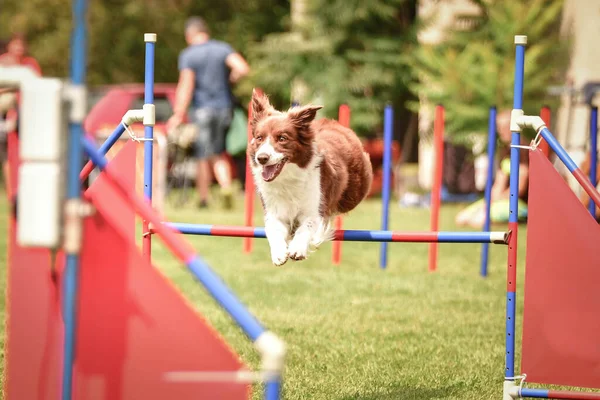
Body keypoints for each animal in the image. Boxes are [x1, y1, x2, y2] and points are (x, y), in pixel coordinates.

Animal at [247, 90, 370, 266]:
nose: (262, 158)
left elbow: (306, 227)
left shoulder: (314, 209)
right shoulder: (274, 211)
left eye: (282, 138)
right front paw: (279, 253)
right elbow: (273, 230)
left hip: (353, 194)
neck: (287, 179)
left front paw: (297, 249)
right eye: (259, 138)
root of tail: (336, 124)